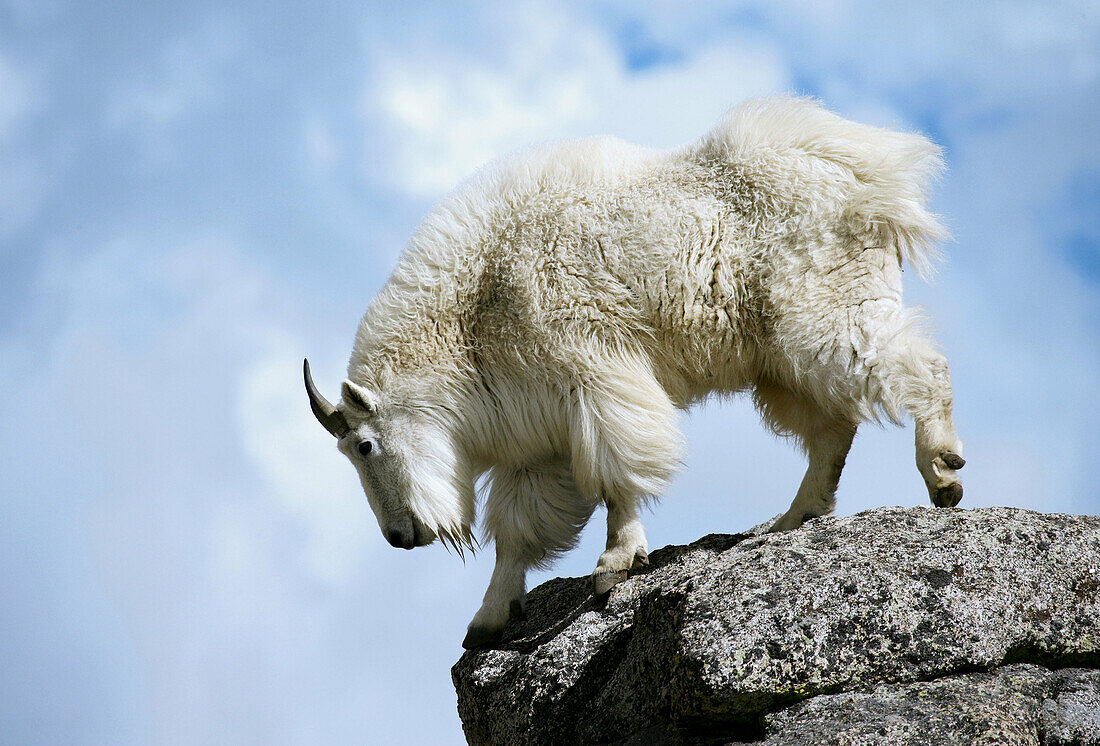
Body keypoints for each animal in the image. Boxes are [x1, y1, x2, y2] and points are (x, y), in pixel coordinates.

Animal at [301, 97, 963, 646]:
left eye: (364, 445)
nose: (400, 536)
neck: (474, 303)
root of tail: (873, 175)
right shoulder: (533, 438)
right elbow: (517, 531)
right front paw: (488, 618)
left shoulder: (595, 375)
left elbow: (616, 473)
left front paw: (616, 563)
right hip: (779, 361)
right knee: (832, 426)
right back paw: (794, 516)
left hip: (827, 312)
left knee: (917, 366)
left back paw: (943, 471)